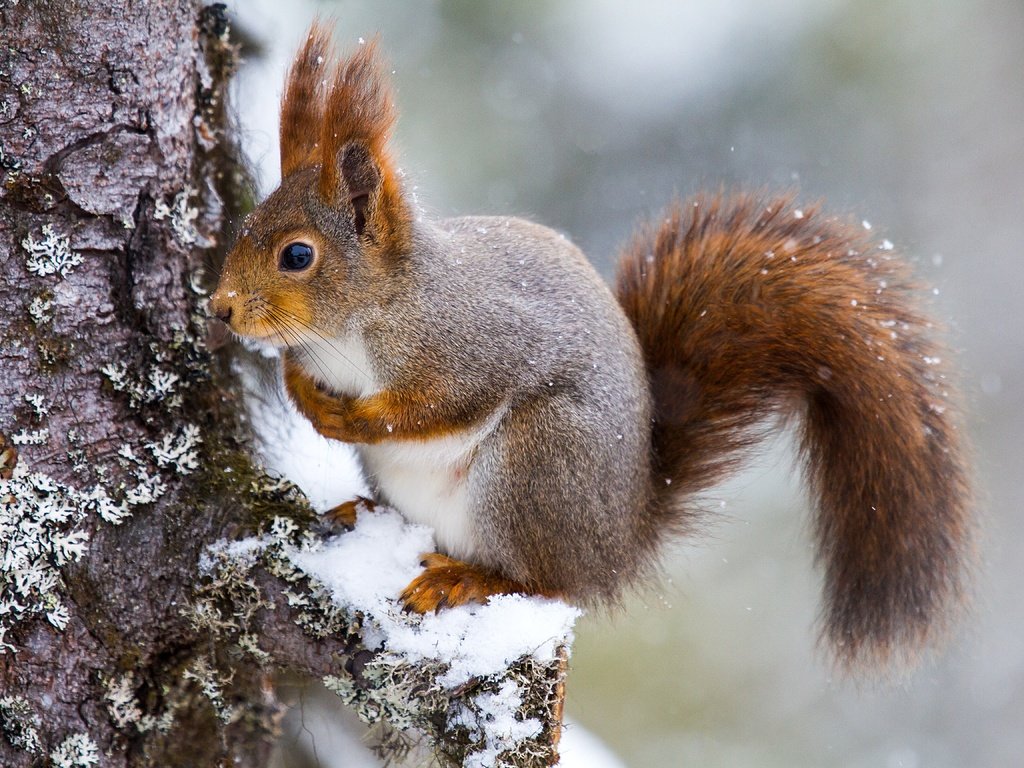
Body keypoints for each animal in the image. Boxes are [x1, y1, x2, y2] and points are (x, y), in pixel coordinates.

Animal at [205, 25, 966, 671]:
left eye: (297, 255)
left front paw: (355, 417)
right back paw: (365, 514)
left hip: (538, 461)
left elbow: (432, 407)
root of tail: (616, 545)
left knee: (540, 582)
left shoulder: (476, 345)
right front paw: (305, 398)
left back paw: (466, 576)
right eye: (243, 226)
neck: (357, 325)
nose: (221, 309)